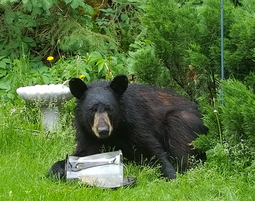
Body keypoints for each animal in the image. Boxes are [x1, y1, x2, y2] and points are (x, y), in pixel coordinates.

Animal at [47, 74, 207, 179]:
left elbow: (152, 149)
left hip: (184, 120)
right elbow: (82, 154)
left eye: (110, 108)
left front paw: (171, 174)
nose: (103, 131)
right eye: (91, 109)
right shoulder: (87, 133)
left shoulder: (135, 123)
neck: (116, 130)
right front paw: (56, 171)